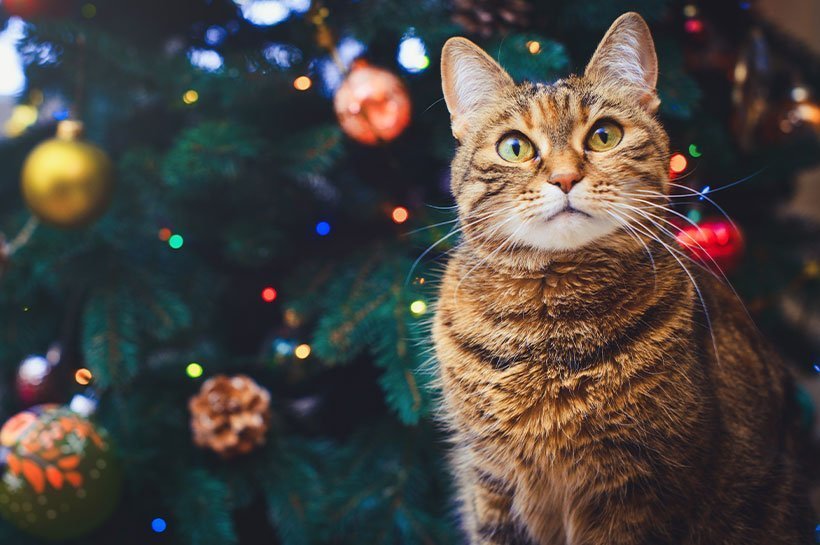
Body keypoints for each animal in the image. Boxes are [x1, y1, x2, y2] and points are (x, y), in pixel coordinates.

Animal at [432, 10, 812, 540]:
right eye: (514, 147)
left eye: (604, 136)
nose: (565, 178)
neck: (550, 322)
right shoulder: (490, 483)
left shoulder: (637, 491)